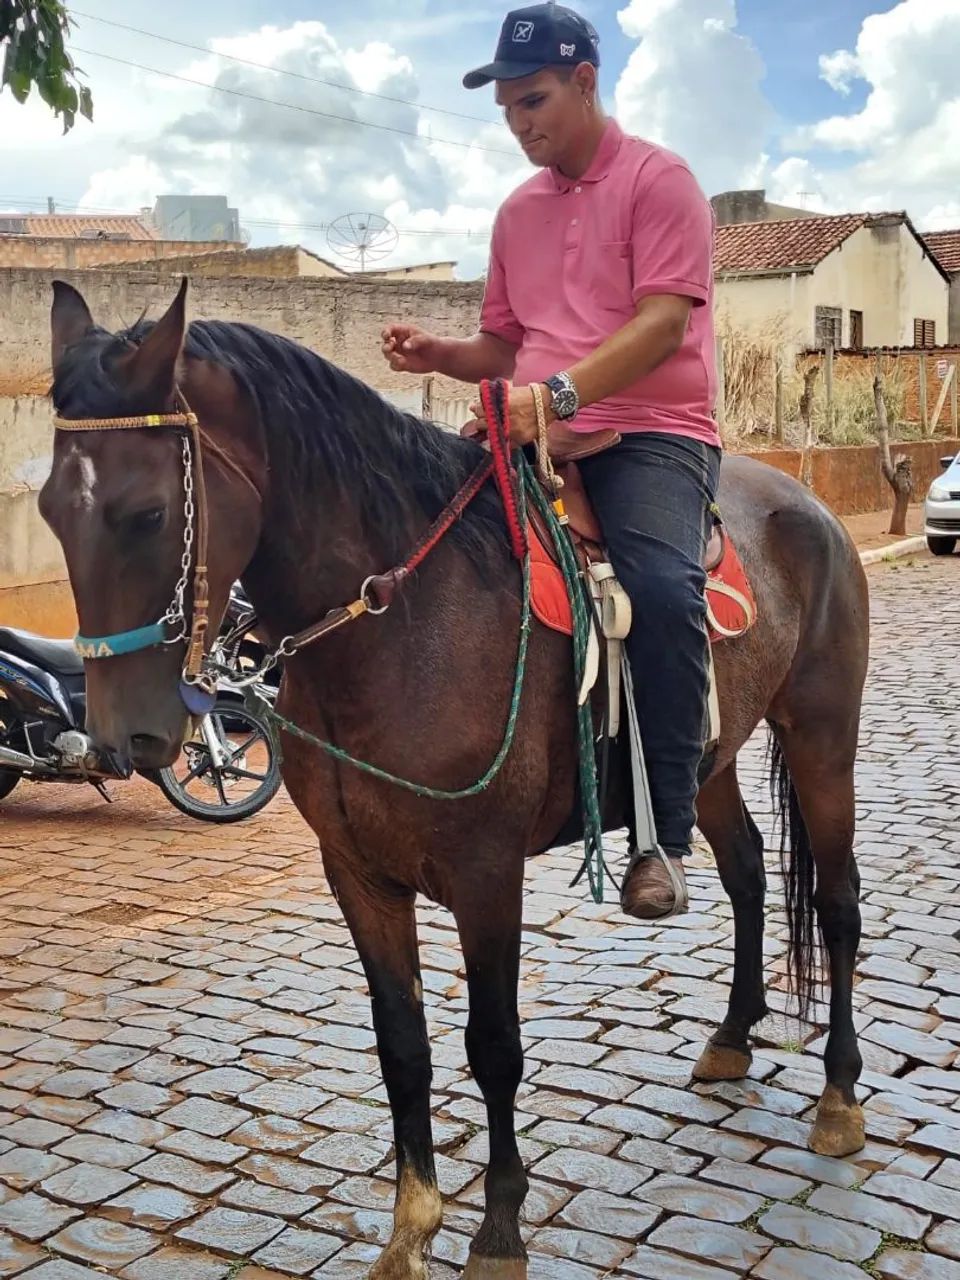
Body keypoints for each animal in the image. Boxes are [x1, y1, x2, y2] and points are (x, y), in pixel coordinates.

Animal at [40, 279, 869, 1280]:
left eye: (149, 514)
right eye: (48, 511)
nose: (121, 737)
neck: (398, 621)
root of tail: (804, 503)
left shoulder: (485, 873)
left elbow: (492, 1046)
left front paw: (498, 1227)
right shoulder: (358, 873)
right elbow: (403, 1046)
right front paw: (412, 1226)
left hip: (823, 737)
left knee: (836, 902)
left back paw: (839, 1097)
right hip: (707, 760)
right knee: (748, 871)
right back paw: (734, 1034)